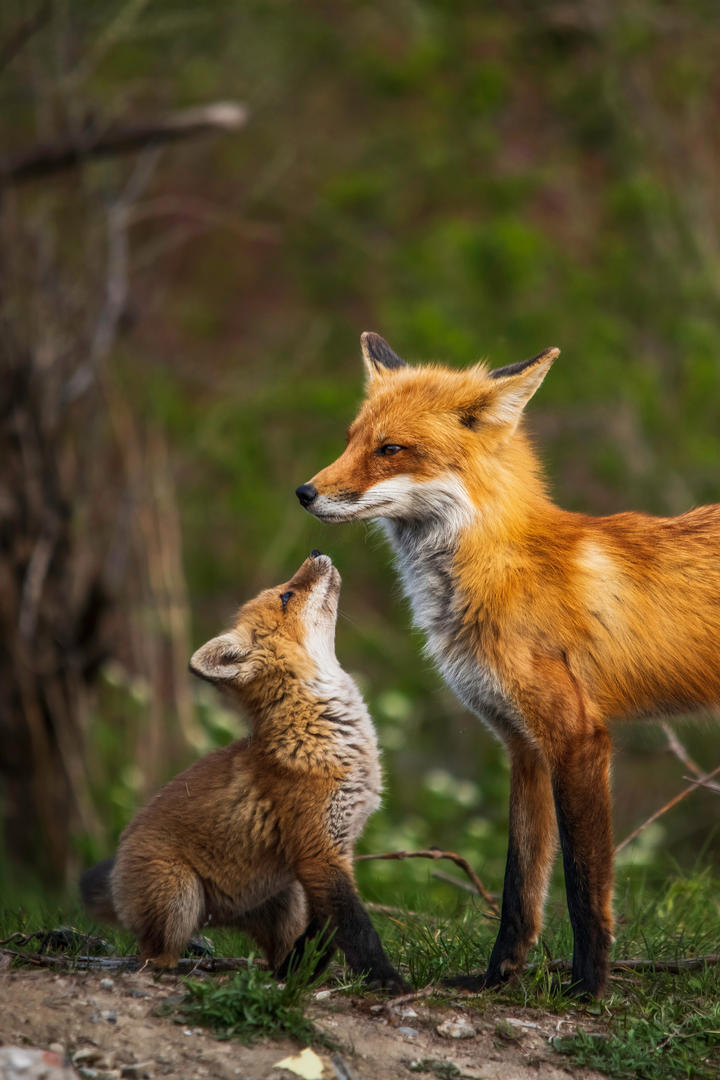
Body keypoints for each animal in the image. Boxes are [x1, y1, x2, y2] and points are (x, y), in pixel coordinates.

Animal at [84, 552, 405, 989]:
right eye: (286, 596)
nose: (316, 552)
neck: (327, 730)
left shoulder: (333, 854)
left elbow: (325, 932)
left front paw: (306, 974)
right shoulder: (319, 853)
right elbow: (357, 929)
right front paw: (390, 982)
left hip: (284, 901)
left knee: (278, 949)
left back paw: (282, 974)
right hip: (179, 898)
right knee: (152, 955)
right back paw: (173, 969)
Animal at [297, 328, 720, 993]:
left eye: (391, 449)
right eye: (352, 441)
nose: (305, 493)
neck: (499, 571)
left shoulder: (577, 736)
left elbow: (582, 883)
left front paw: (587, 989)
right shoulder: (522, 744)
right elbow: (521, 883)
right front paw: (496, 979)